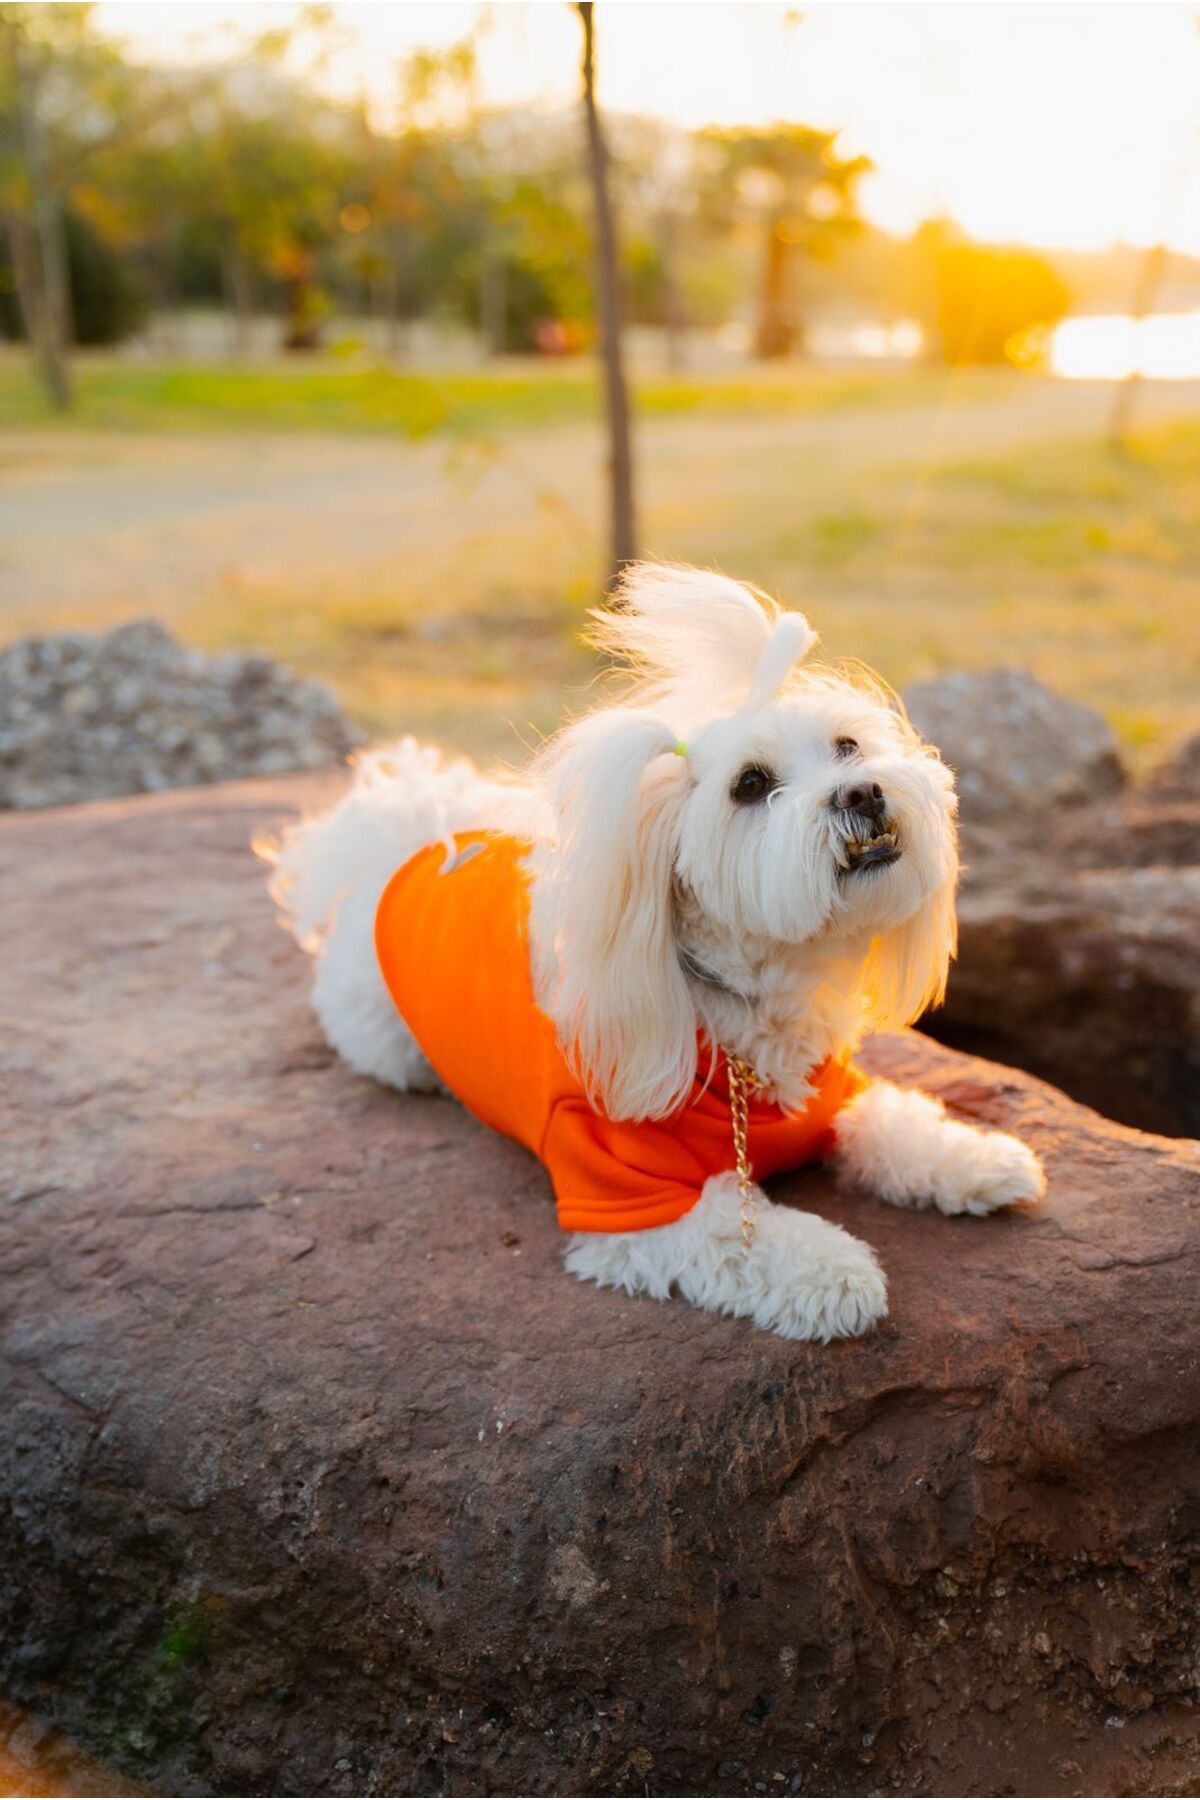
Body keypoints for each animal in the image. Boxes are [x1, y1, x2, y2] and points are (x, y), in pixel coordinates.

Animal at [268, 561, 1043, 1339]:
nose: (863, 792)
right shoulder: (627, 1194)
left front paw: (973, 1156)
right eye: (751, 785)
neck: (752, 1004)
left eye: (847, 746)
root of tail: (402, 842)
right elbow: (737, 1234)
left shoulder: (838, 1093)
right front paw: (834, 1273)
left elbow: (893, 1117)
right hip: (381, 1034)